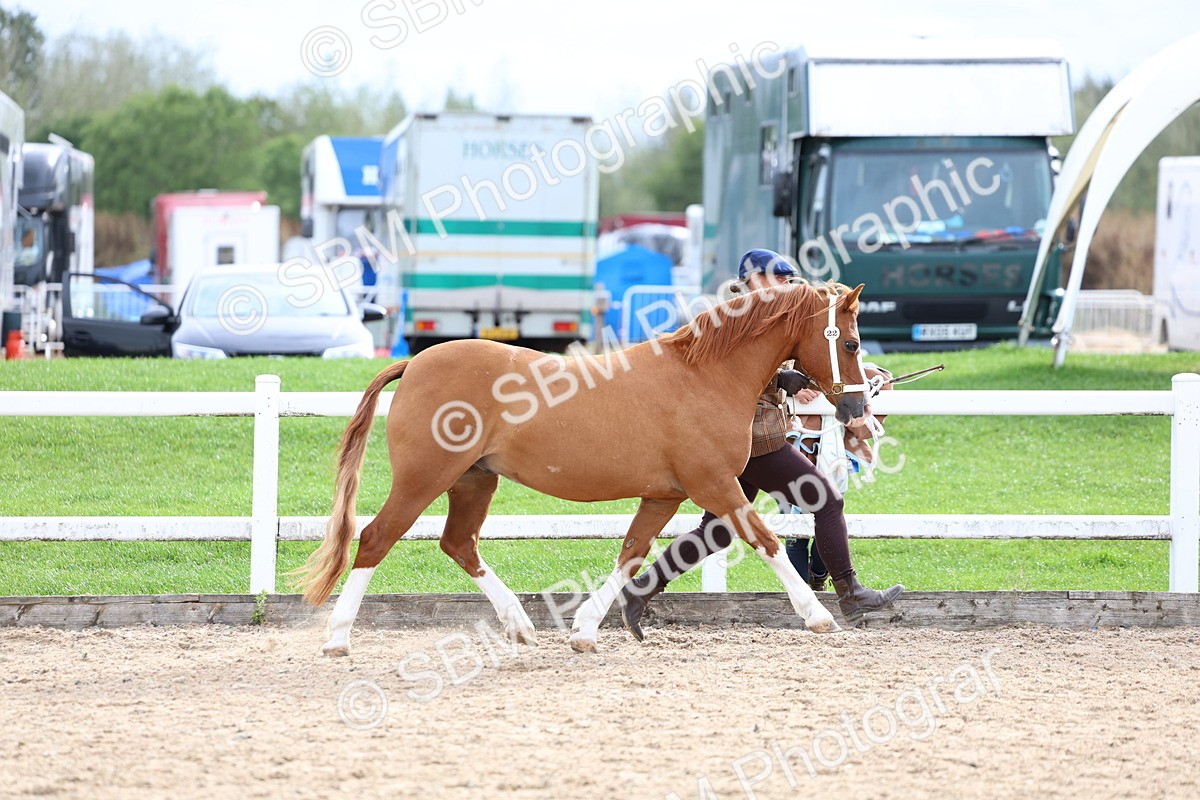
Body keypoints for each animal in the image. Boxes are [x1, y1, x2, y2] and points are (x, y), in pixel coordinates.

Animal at [294, 280, 870, 656]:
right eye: (851, 342)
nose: (858, 407)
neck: (704, 376)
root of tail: (415, 362)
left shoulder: (666, 495)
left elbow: (632, 554)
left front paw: (586, 629)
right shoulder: (715, 486)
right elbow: (766, 541)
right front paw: (819, 616)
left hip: (474, 480)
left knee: (459, 544)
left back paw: (521, 626)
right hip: (424, 478)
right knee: (376, 538)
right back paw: (338, 638)